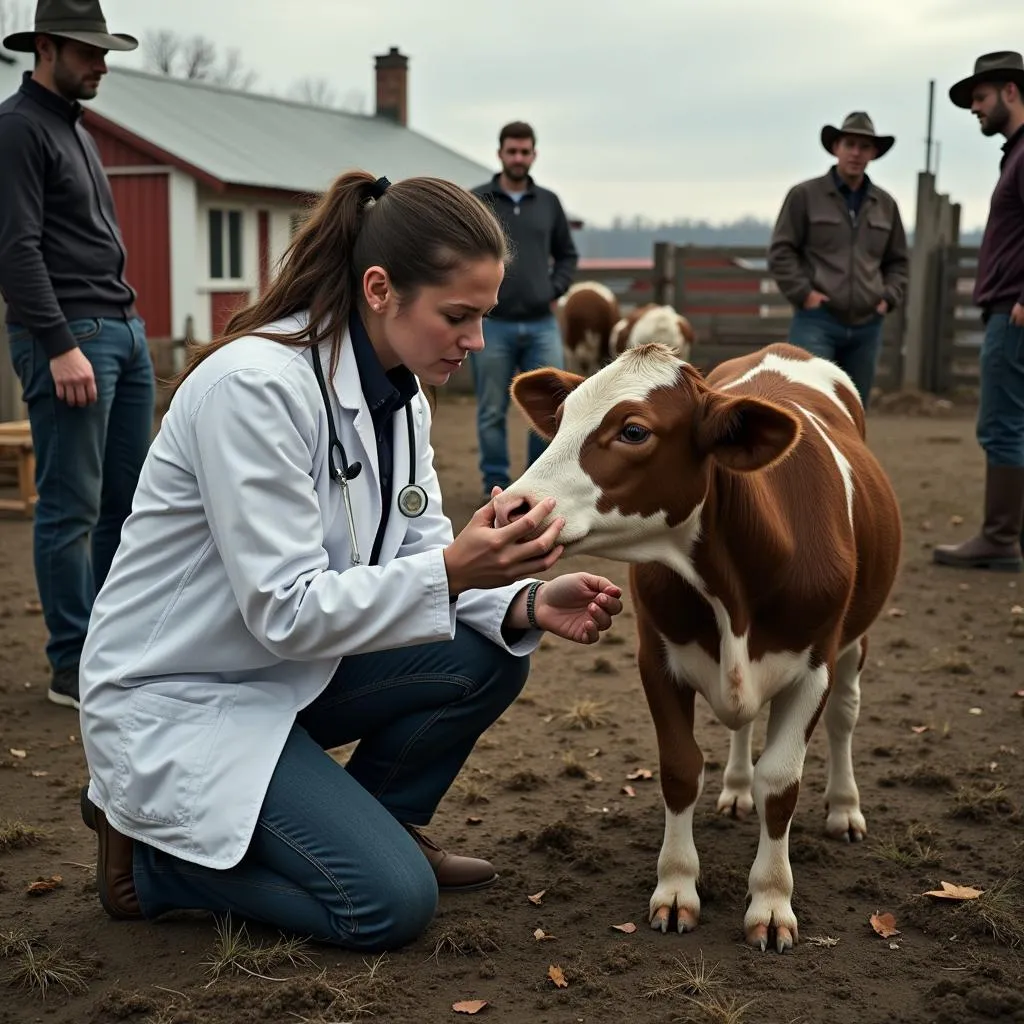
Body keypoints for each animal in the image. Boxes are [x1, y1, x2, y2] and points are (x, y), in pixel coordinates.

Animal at [499, 342, 901, 950]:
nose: (512, 509)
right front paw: (676, 889)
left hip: (854, 642)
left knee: (845, 717)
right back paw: (736, 789)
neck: (729, 588)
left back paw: (844, 808)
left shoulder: (815, 666)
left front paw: (771, 902)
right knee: (742, 727)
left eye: (634, 431)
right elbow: (680, 768)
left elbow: (780, 782)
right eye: (562, 419)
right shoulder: (657, 658)